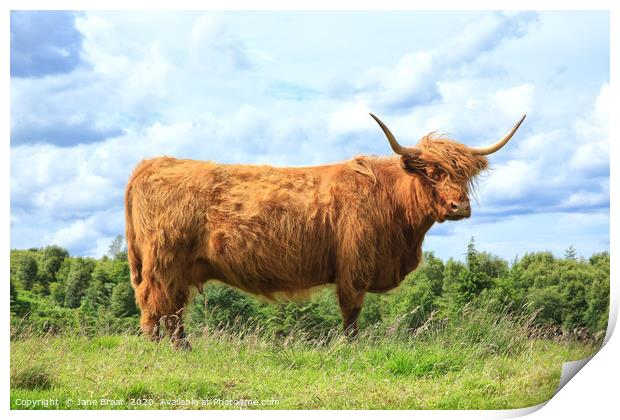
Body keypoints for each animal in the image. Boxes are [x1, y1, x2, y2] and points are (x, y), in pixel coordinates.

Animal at [124, 112, 524, 348]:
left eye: (464, 174)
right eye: (434, 172)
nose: (461, 207)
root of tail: (151, 163)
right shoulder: (354, 267)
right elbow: (352, 313)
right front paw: (351, 348)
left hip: (177, 268)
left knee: (172, 309)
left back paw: (182, 348)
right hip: (164, 262)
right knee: (154, 306)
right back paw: (160, 351)